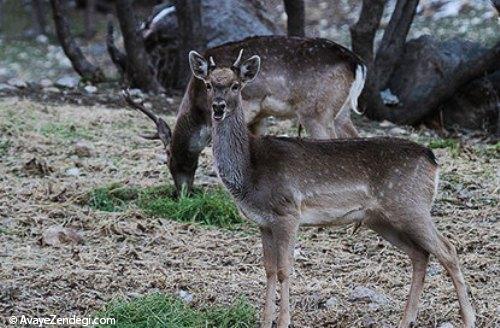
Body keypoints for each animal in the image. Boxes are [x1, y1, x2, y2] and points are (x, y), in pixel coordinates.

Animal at [182, 50, 474, 328]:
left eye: (235, 85)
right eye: (208, 84)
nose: (218, 107)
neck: (250, 170)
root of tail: (432, 159)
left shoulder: (288, 211)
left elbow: (285, 269)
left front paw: (284, 321)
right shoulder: (263, 222)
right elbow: (268, 269)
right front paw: (265, 321)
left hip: (410, 205)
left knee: (448, 249)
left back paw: (469, 319)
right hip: (381, 218)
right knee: (420, 254)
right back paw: (406, 320)